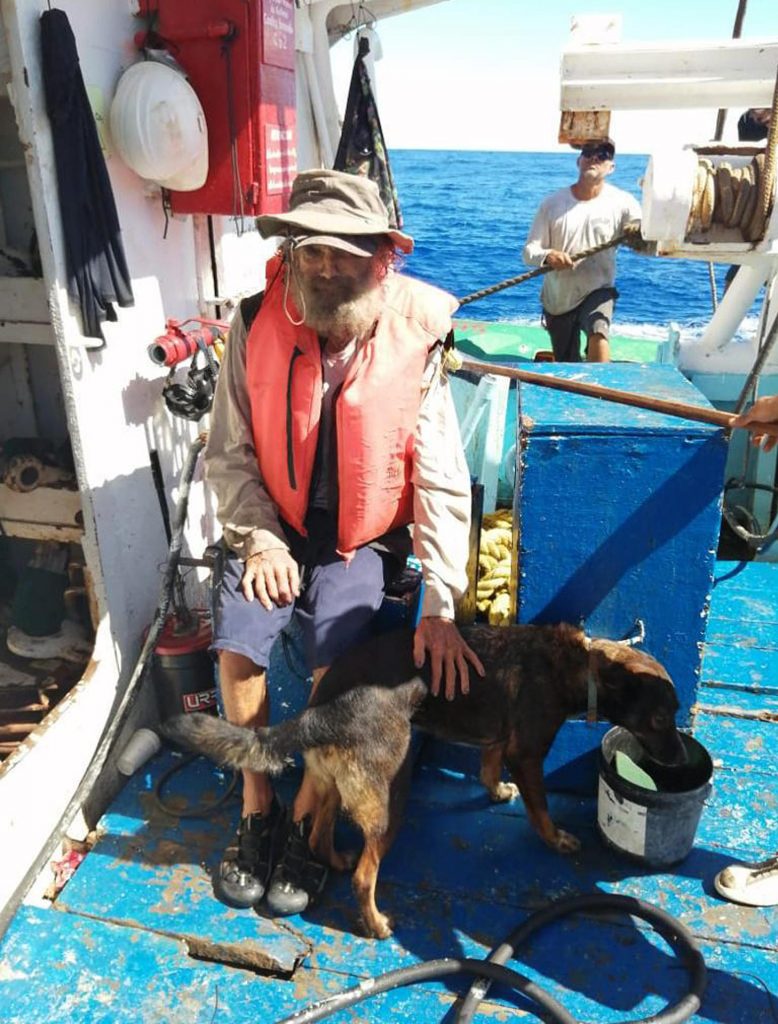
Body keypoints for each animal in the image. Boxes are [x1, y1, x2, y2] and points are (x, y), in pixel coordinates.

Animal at [162, 618, 679, 937]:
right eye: (658, 719)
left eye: (673, 714)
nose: (675, 762)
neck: (578, 665)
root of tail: (320, 711)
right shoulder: (527, 752)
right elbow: (541, 809)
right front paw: (557, 839)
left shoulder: (497, 739)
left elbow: (488, 766)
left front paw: (496, 791)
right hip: (391, 798)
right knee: (365, 875)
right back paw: (374, 923)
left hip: (331, 784)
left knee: (319, 836)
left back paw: (337, 859)